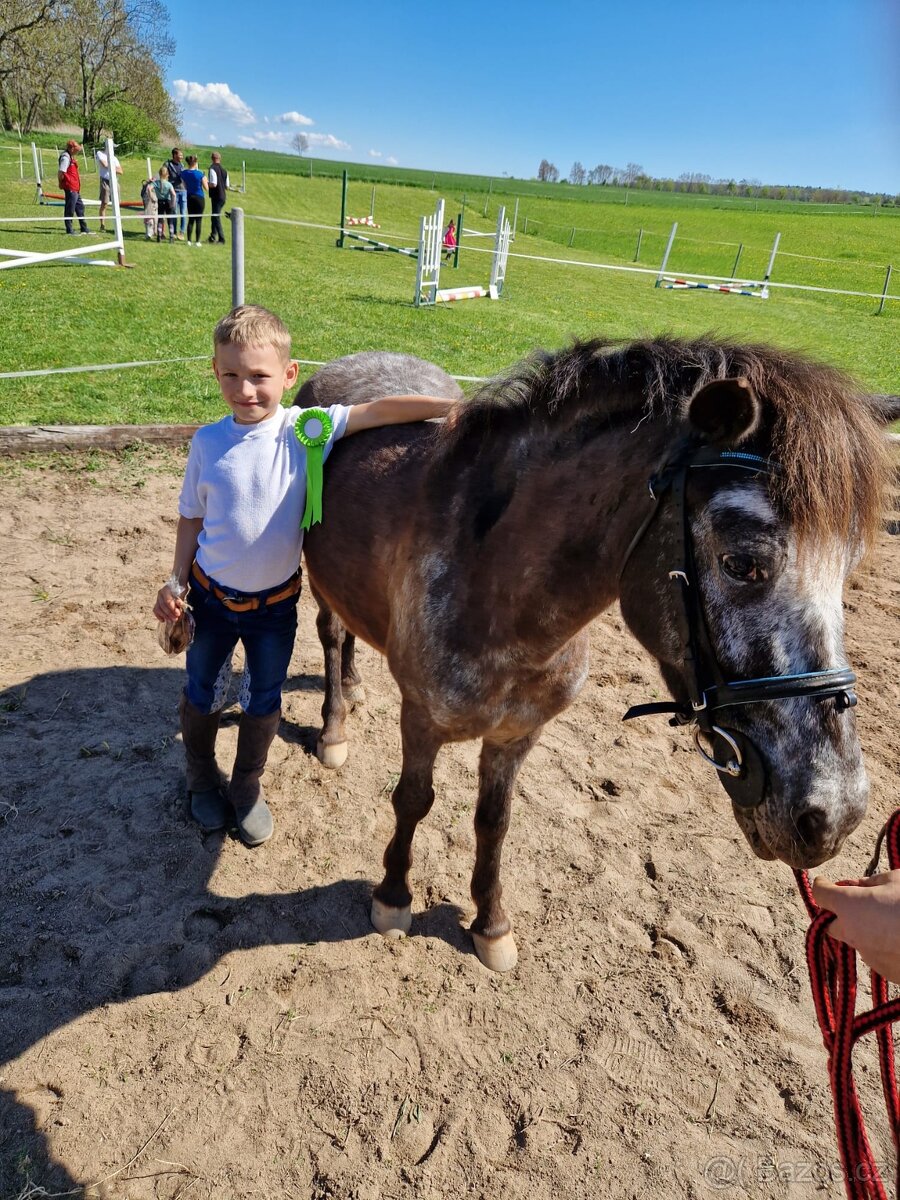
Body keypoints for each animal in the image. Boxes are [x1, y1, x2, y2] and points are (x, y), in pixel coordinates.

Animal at [297, 338, 891, 972]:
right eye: (743, 563)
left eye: (848, 568)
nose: (836, 815)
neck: (489, 580)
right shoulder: (423, 720)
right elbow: (413, 800)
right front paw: (393, 897)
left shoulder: (517, 734)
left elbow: (494, 821)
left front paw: (490, 924)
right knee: (331, 635)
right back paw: (334, 727)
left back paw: (356, 686)